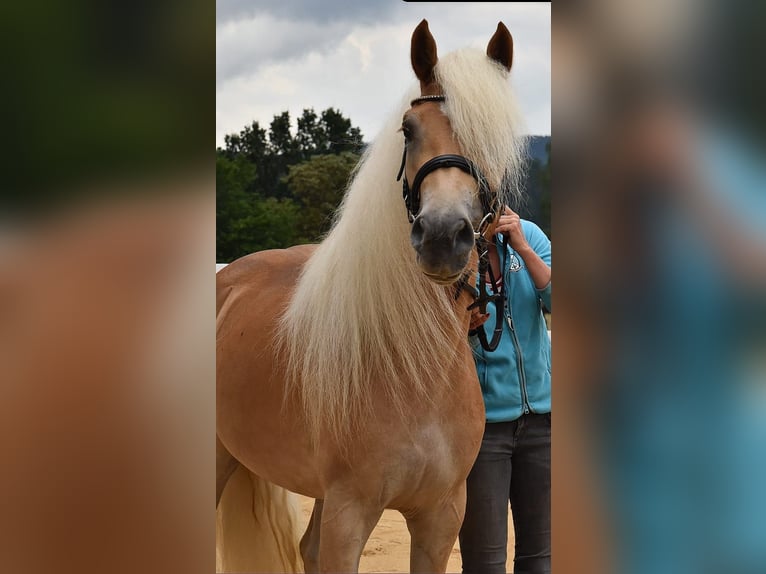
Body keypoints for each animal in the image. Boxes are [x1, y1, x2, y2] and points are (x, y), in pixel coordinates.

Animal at [216, 19, 528, 574]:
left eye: (497, 137)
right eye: (408, 129)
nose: (442, 236)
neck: (412, 369)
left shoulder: (441, 517)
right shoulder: (351, 514)